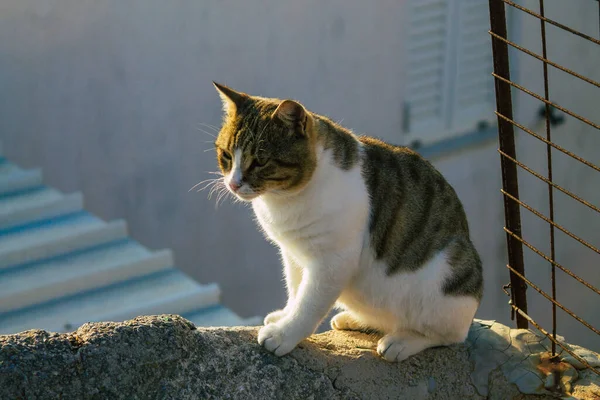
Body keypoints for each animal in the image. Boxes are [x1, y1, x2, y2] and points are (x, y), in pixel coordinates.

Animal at [211, 82, 482, 362]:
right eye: (226, 155)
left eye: (260, 161)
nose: (233, 184)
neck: (283, 199)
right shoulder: (293, 253)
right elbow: (296, 290)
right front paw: (284, 316)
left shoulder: (332, 261)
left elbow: (309, 303)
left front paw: (284, 334)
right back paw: (353, 319)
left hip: (445, 280)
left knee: (447, 335)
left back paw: (401, 341)